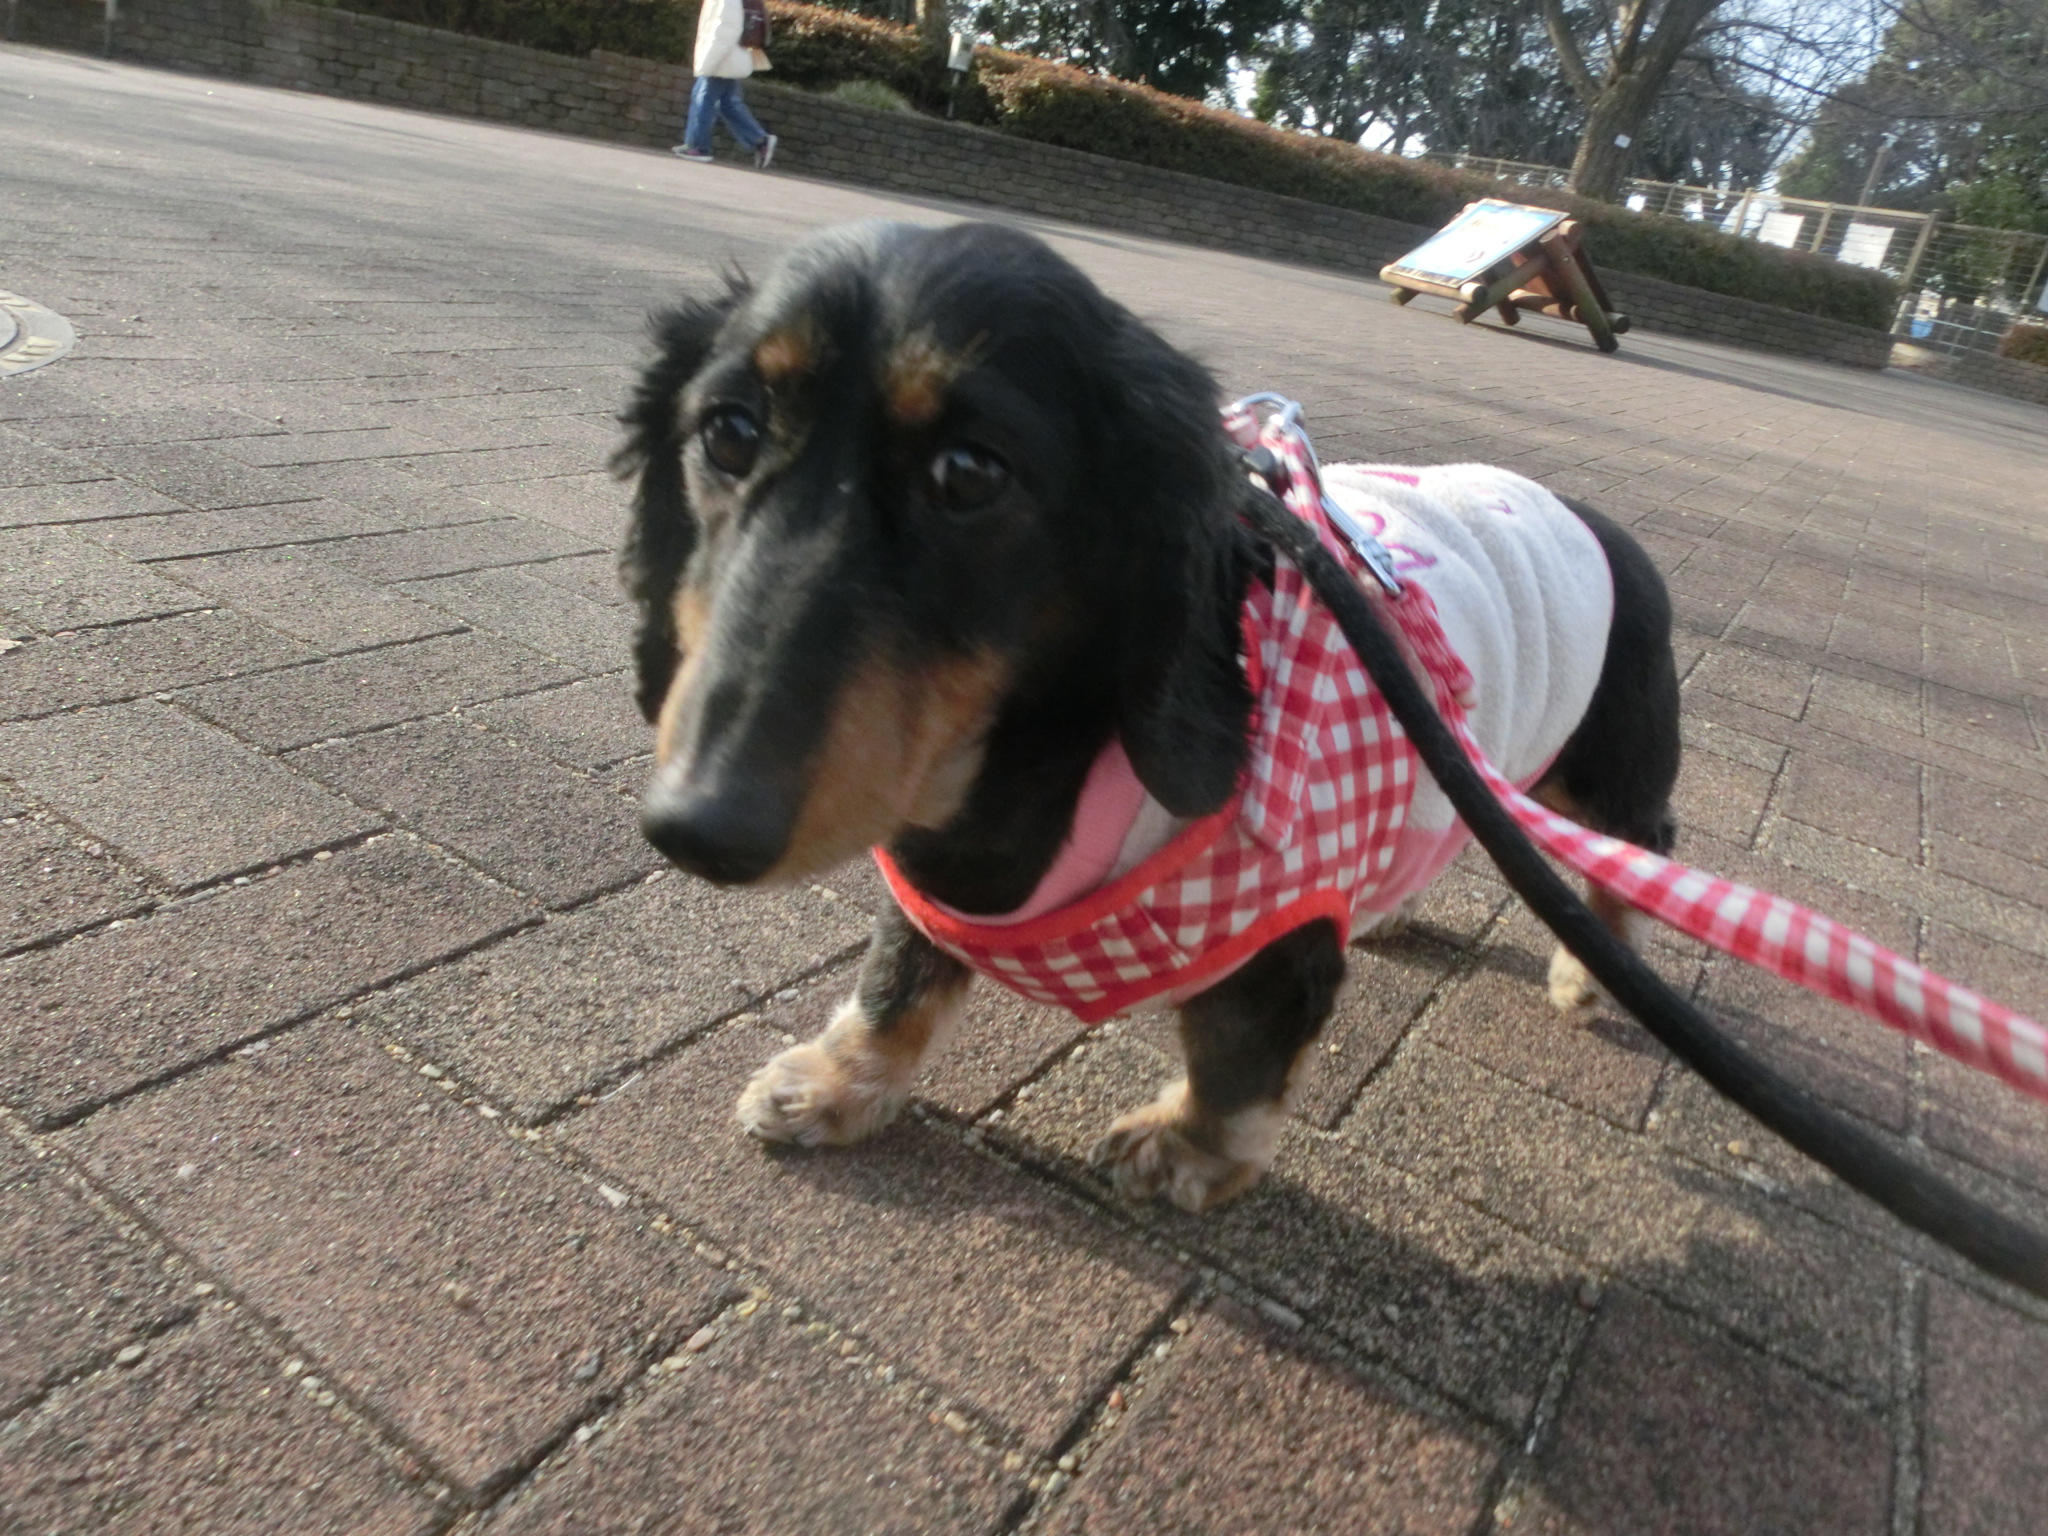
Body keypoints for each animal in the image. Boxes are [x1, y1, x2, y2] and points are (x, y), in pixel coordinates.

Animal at [615, 219, 1681, 1213]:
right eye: (728, 431)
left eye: (970, 472)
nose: (699, 826)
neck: (1042, 777)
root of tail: (1599, 521)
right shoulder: (928, 868)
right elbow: (896, 977)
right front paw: (840, 1082)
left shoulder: (1278, 948)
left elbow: (1235, 1062)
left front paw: (1189, 1152)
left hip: (1605, 773)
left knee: (1639, 852)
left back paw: (1591, 969)